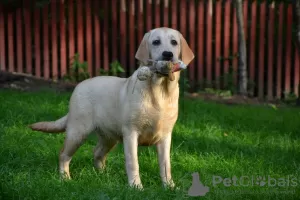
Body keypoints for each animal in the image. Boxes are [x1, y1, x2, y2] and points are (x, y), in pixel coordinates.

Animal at [29, 27, 195, 189]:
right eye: (156, 42)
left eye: (174, 42)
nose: (168, 54)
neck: (160, 90)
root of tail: (79, 85)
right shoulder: (130, 132)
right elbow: (133, 163)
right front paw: (136, 187)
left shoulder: (165, 135)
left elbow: (165, 165)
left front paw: (170, 186)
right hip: (78, 131)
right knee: (64, 154)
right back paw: (65, 178)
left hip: (109, 136)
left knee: (97, 153)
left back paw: (103, 176)